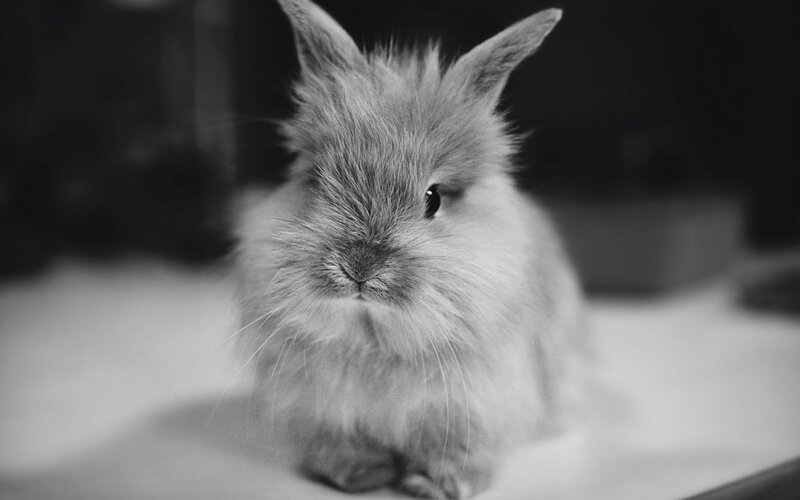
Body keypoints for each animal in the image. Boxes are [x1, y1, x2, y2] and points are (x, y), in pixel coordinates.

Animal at [234, 0, 584, 498]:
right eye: (318, 181)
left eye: (432, 199)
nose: (359, 266)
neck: (377, 334)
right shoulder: (326, 408)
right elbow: (344, 444)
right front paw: (358, 476)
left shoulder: (470, 404)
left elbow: (456, 450)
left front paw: (438, 486)